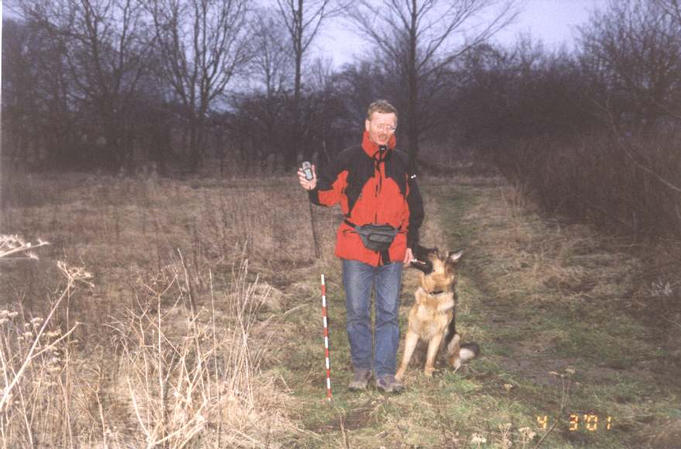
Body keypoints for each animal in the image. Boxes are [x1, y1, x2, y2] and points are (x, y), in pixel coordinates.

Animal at [394, 243, 478, 380]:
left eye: (434, 252)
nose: (412, 244)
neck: (432, 294)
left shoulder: (437, 335)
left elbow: (430, 359)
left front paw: (427, 376)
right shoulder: (412, 332)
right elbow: (405, 359)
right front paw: (398, 376)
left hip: (455, 337)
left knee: (453, 359)